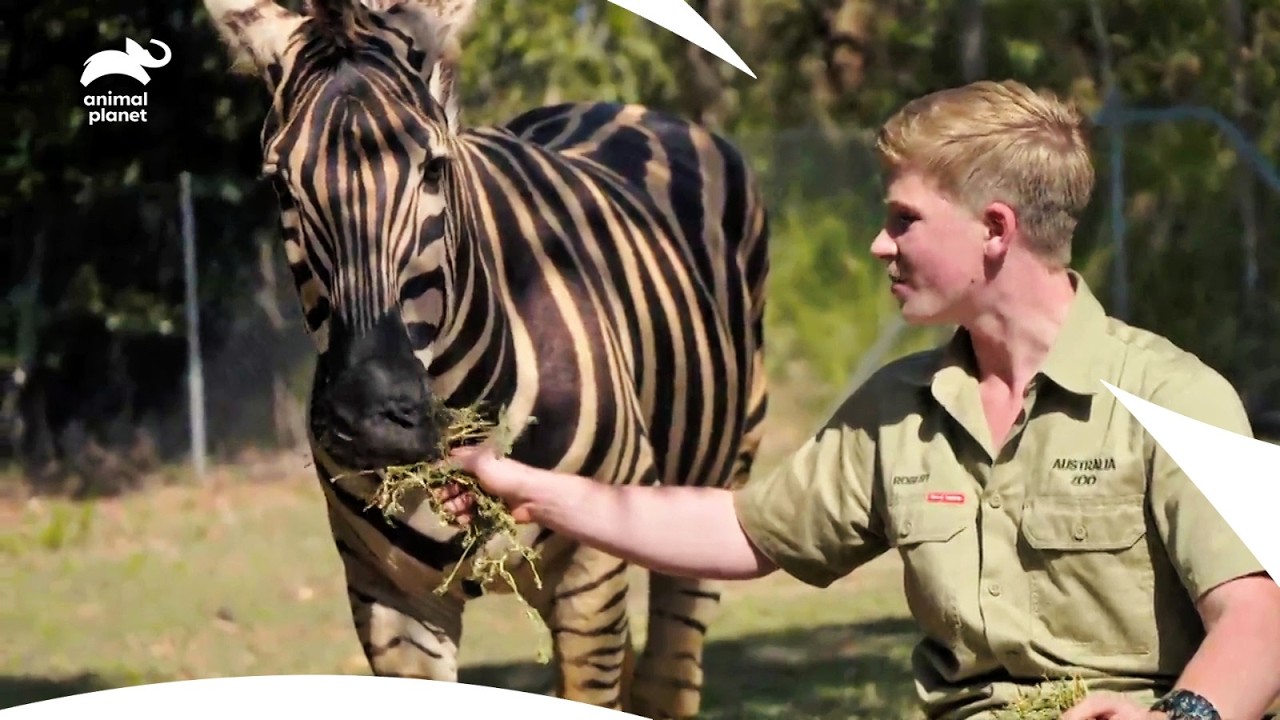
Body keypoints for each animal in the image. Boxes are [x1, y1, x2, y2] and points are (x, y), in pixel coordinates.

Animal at [200, 0, 770, 717]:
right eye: (281, 187)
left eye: (434, 169)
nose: (373, 420)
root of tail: (624, 107)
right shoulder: (387, 597)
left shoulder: (593, 571)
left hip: (710, 489)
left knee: (669, 673)